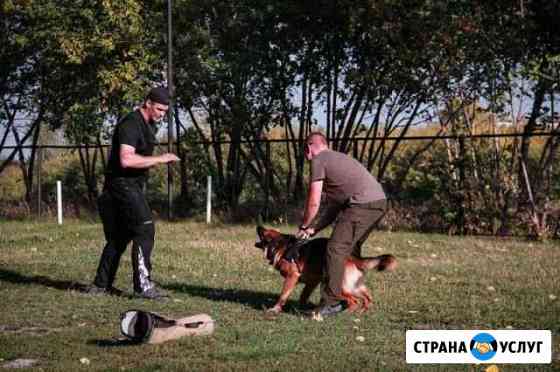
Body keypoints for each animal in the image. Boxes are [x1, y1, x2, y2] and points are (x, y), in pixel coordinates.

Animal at [256, 227, 396, 314]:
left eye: (265, 232)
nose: (258, 226)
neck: (283, 248)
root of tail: (352, 257)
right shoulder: (313, 282)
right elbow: (303, 296)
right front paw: (302, 308)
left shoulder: (292, 277)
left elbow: (283, 295)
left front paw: (275, 309)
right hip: (351, 286)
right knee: (367, 297)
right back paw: (361, 313)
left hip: (337, 286)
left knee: (353, 301)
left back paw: (345, 315)